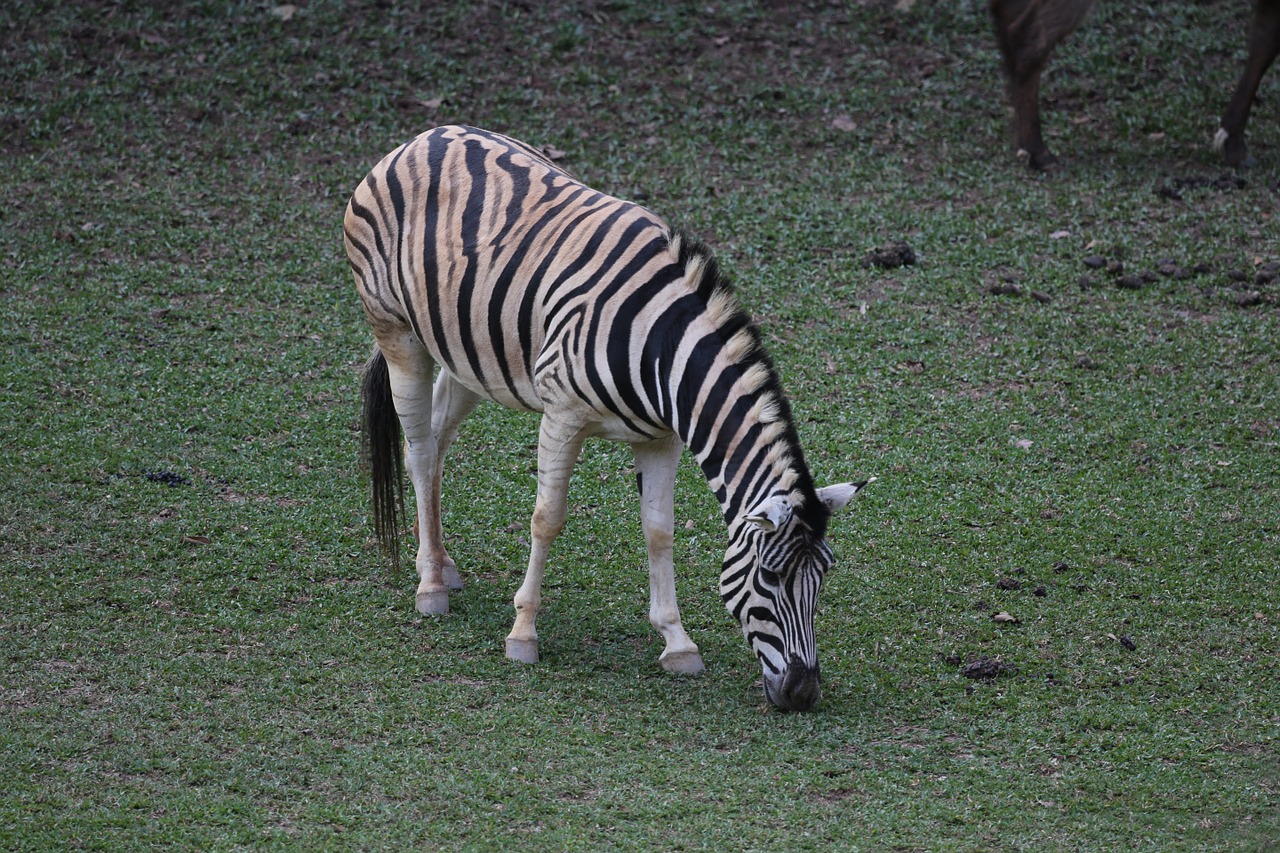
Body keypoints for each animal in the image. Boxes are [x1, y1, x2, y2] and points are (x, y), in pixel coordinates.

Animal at [345, 124, 875, 712]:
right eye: (771, 576)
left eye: (822, 576)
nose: (803, 693)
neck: (664, 349)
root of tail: (426, 136)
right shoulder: (562, 415)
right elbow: (547, 519)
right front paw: (523, 634)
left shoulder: (662, 438)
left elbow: (659, 531)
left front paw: (677, 642)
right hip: (396, 331)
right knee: (417, 450)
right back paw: (429, 586)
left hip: (468, 354)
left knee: (437, 442)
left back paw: (440, 562)